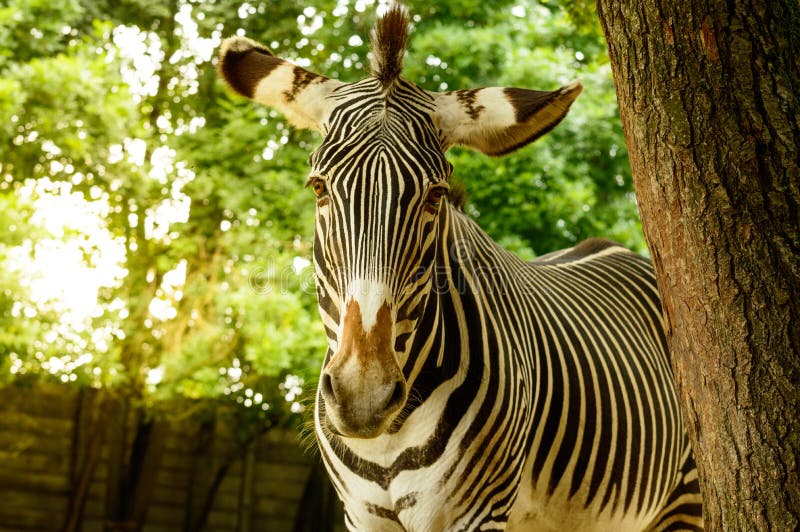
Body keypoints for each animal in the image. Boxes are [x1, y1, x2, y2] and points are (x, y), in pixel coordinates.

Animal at [218, 5, 703, 531]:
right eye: (318, 187)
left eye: (436, 196)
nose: (363, 396)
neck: (386, 439)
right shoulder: (360, 515)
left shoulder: (476, 512)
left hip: (685, 497)